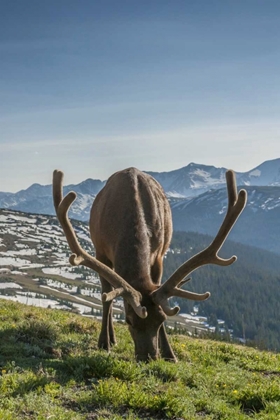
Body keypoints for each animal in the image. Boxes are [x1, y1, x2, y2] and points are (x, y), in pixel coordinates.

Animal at [53, 167, 247, 360]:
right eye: (129, 320)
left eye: (161, 320)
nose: (149, 357)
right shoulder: (100, 252)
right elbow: (106, 297)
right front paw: (103, 343)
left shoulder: (159, 256)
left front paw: (169, 353)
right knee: (108, 296)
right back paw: (110, 338)